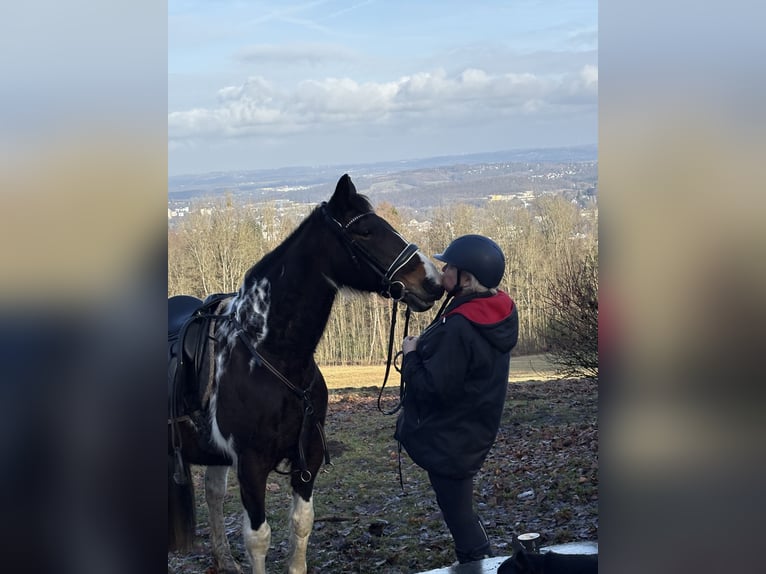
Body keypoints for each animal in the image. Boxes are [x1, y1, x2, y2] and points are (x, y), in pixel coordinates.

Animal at [167, 174, 444, 574]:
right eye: (365, 232)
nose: (433, 282)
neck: (273, 354)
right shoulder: (251, 463)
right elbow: (259, 537)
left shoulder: (307, 456)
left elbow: (301, 525)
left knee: (213, 495)